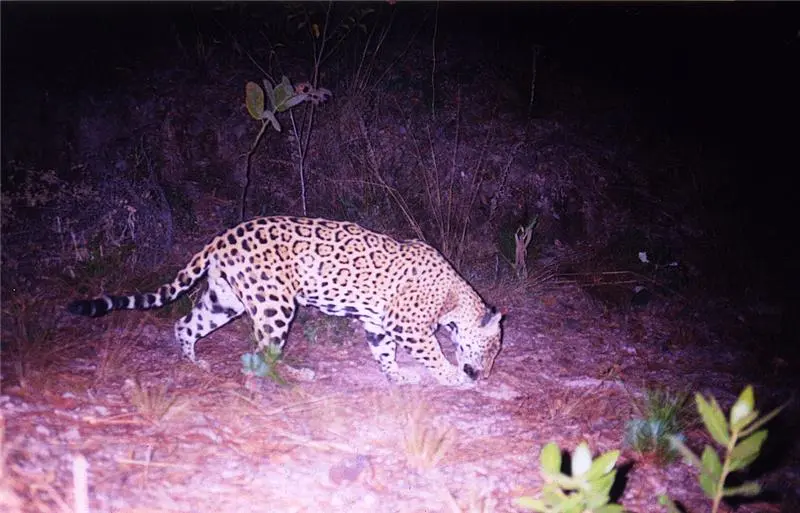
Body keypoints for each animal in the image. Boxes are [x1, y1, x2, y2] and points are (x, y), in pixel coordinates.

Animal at [67, 216, 503, 386]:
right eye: (491, 351)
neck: (454, 296)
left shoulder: (379, 323)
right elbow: (432, 353)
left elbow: (384, 352)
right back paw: (295, 375)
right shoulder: (408, 325)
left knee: (185, 324)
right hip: (275, 305)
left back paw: (194, 363)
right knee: (264, 350)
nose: (484, 375)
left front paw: (396, 376)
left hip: (225, 300)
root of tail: (223, 235)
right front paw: (452, 376)